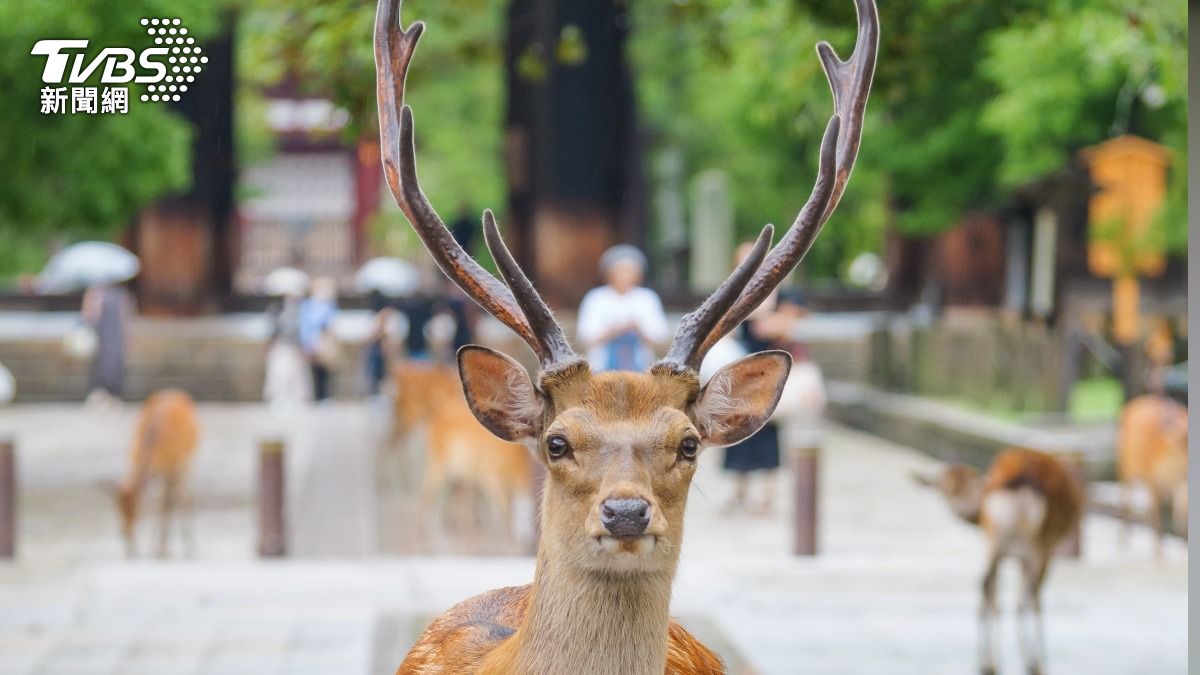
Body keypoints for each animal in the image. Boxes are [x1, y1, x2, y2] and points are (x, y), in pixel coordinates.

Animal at [108, 388, 199, 558]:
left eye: (136, 513)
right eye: (118, 510)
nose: (127, 535)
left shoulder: (170, 467)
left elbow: (158, 502)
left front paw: (156, 549)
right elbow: (157, 502)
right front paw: (156, 548)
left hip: (187, 463)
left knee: (183, 497)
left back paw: (189, 548)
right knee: (170, 499)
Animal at [914, 449, 1083, 675]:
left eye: (964, 482)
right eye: (943, 485)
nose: (958, 505)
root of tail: (1023, 478)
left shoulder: (1007, 552)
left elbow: (1009, 598)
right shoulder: (1038, 551)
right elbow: (1027, 600)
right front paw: (1035, 659)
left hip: (997, 542)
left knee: (986, 585)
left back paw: (988, 661)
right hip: (1038, 544)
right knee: (1030, 594)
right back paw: (1030, 662)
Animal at [1117, 394, 1188, 553]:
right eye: (1180, 441)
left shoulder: (1180, 481)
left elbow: (1180, 515)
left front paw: (1182, 550)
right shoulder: (1152, 478)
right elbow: (1158, 513)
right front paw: (1158, 551)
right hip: (1125, 467)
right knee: (1126, 499)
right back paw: (1124, 537)